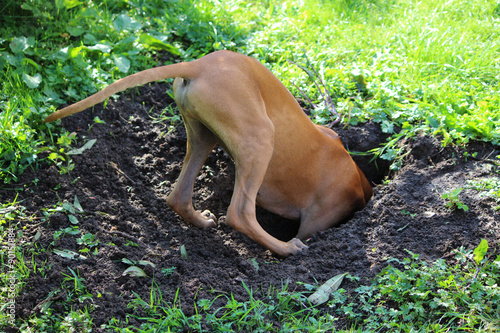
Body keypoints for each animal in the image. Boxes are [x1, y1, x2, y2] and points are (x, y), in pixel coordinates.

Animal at [44, 50, 372, 256]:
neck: (355, 175)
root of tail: (200, 65)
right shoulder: (318, 217)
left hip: (204, 136)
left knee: (178, 196)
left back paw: (199, 221)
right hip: (260, 139)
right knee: (239, 213)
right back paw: (285, 249)